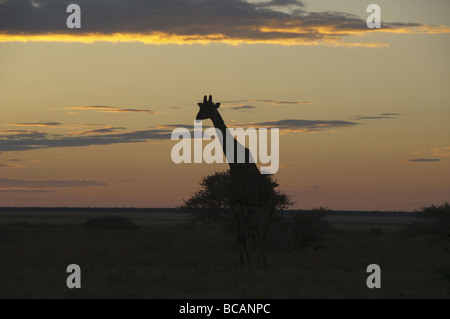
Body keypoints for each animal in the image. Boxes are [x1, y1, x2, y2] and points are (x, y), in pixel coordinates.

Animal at [195, 95, 276, 270]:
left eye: (210, 108)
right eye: (200, 107)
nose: (198, 117)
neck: (234, 164)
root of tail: (272, 193)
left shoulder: (247, 204)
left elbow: (246, 235)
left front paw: (251, 265)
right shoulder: (235, 204)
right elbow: (240, 235)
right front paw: (243, 264)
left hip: (267, 210)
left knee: (263, 236)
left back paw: (263, 267)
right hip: (258, 212)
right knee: (260, 235)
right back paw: (263, 265)